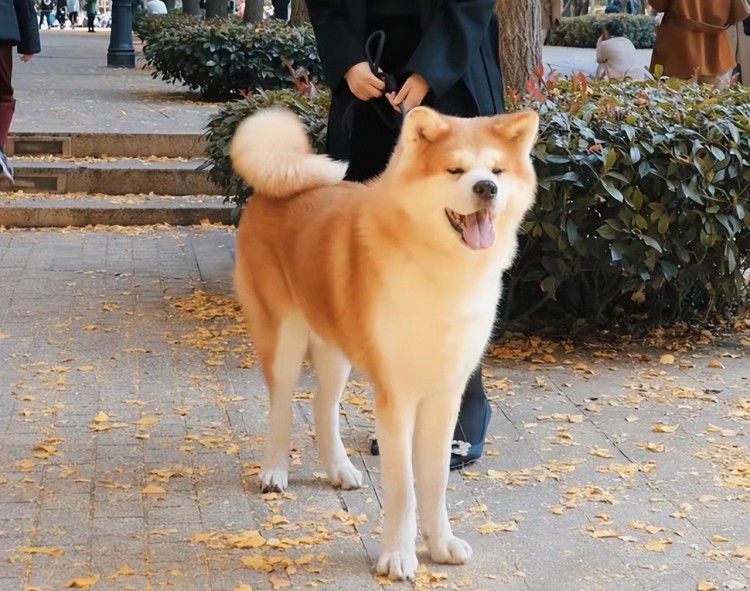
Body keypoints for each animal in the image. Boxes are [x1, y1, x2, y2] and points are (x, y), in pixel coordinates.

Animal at [232, 105, 536, 580]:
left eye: (498, 170)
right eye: (455, 170)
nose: (486, 188)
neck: (442, 273)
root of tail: (277, 186)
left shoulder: (445, 395)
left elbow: (435, 480)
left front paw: (441, 544)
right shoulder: (398, 397)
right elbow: (403, 487)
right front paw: (398, 556)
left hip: (335, 349)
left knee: (322, 406)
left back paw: (340, 469)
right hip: (283, 340)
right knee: (281, 407)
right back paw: (274, 471)